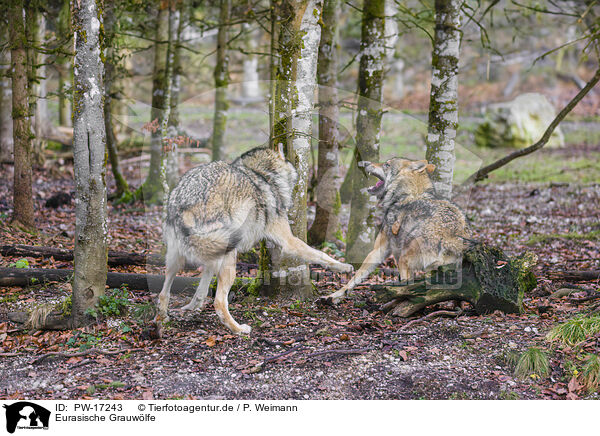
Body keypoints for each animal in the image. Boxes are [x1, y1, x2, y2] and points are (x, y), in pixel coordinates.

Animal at [157, 146, 354, 334]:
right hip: (230, 255)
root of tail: (183, 203)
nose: (297, 176)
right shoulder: (288, 241)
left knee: (163, 293)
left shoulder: (211, 258)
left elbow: (202, 287)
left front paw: (192, 306)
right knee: (219, 302)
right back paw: (239, 329)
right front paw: (345, 267)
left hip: (178, 259)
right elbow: (320, 254)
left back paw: (162, 319)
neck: (265, 175)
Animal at [324, 158, 468, 304]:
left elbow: (357, 276)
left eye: (387, 164)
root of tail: (452, 238)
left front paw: (335, 295)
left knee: (406, 288)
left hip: (404, 260)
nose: (365, 163)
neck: (407, 194)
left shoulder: (380, 250)